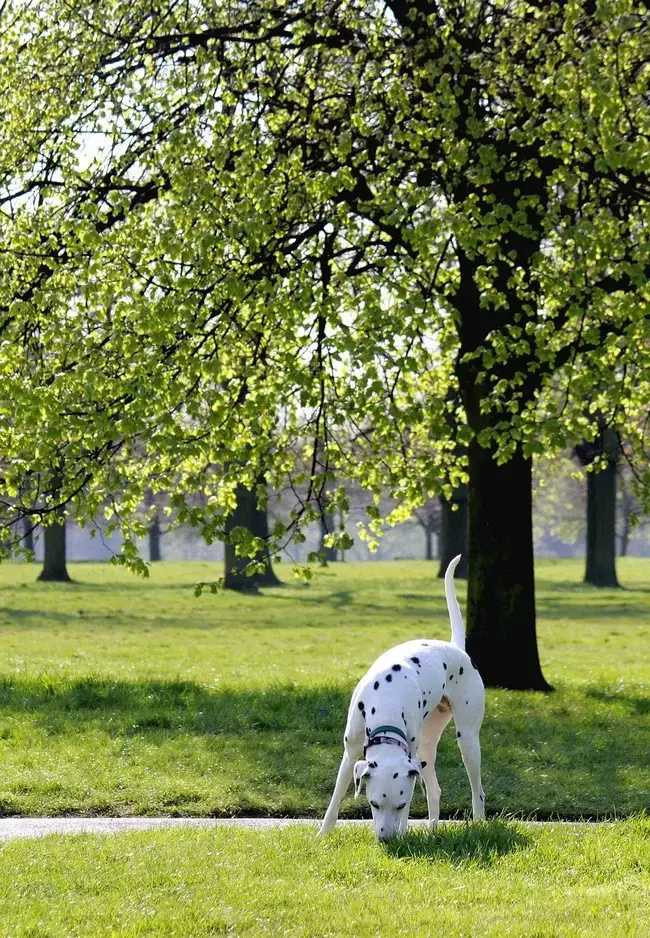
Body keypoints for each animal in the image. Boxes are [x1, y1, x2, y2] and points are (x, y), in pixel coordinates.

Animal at [316, 556, 484, 840]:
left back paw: (481, 823)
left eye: (401, 804)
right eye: (373, 804)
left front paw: (403, 830)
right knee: (434, 790)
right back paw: (432, 828)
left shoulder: (410, 755)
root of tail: (456, 648)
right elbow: (336, 797)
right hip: (427, 746)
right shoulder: (350, 752)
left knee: (477, 791)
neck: (387, 700)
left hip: (467, 740)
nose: (386, 838)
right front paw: (323, 834)